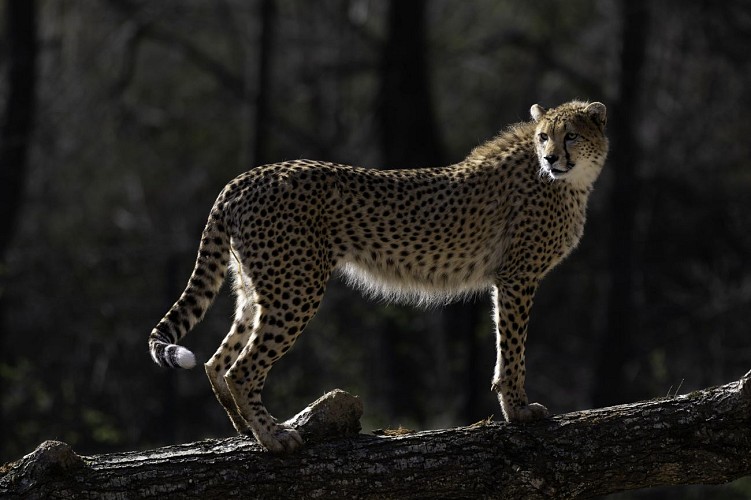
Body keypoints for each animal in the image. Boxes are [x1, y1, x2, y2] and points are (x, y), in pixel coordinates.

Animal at [148, 99, 612, 452]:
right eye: (543, 136)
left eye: (570, 135)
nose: (551, 158)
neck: (569, 181)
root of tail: (245, 177)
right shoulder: (518, 276)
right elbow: (513, 348)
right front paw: (518, 411)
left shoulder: (506, 279)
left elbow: (504, 345)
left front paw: (512, 408)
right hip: (296, 288)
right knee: (241, 368)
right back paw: (274, 437)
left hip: (258, 286)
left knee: (216, 361)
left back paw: (246, 429)